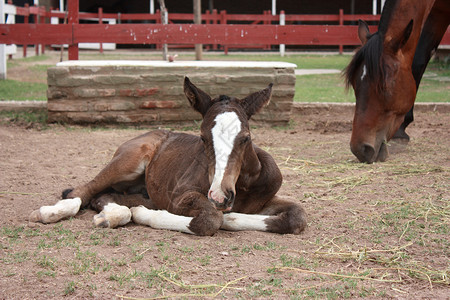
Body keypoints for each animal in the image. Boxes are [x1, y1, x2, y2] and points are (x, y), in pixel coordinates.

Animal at [29, 78, 308, 237]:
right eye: (202, 138)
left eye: (246, 138)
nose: (220, 196)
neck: (244, 185)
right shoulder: (178, 197)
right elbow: (209, 220)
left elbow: (297, 216)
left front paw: (233, 217)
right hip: (128, 161)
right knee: (84, 190)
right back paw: (51, 212)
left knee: (103, 196)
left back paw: (111, 215)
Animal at [344, 0, 446, 163]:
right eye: (354, 84)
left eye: (385, 87)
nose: (360, 149)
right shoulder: (438, 14)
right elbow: (418, 60)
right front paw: (400, 133)